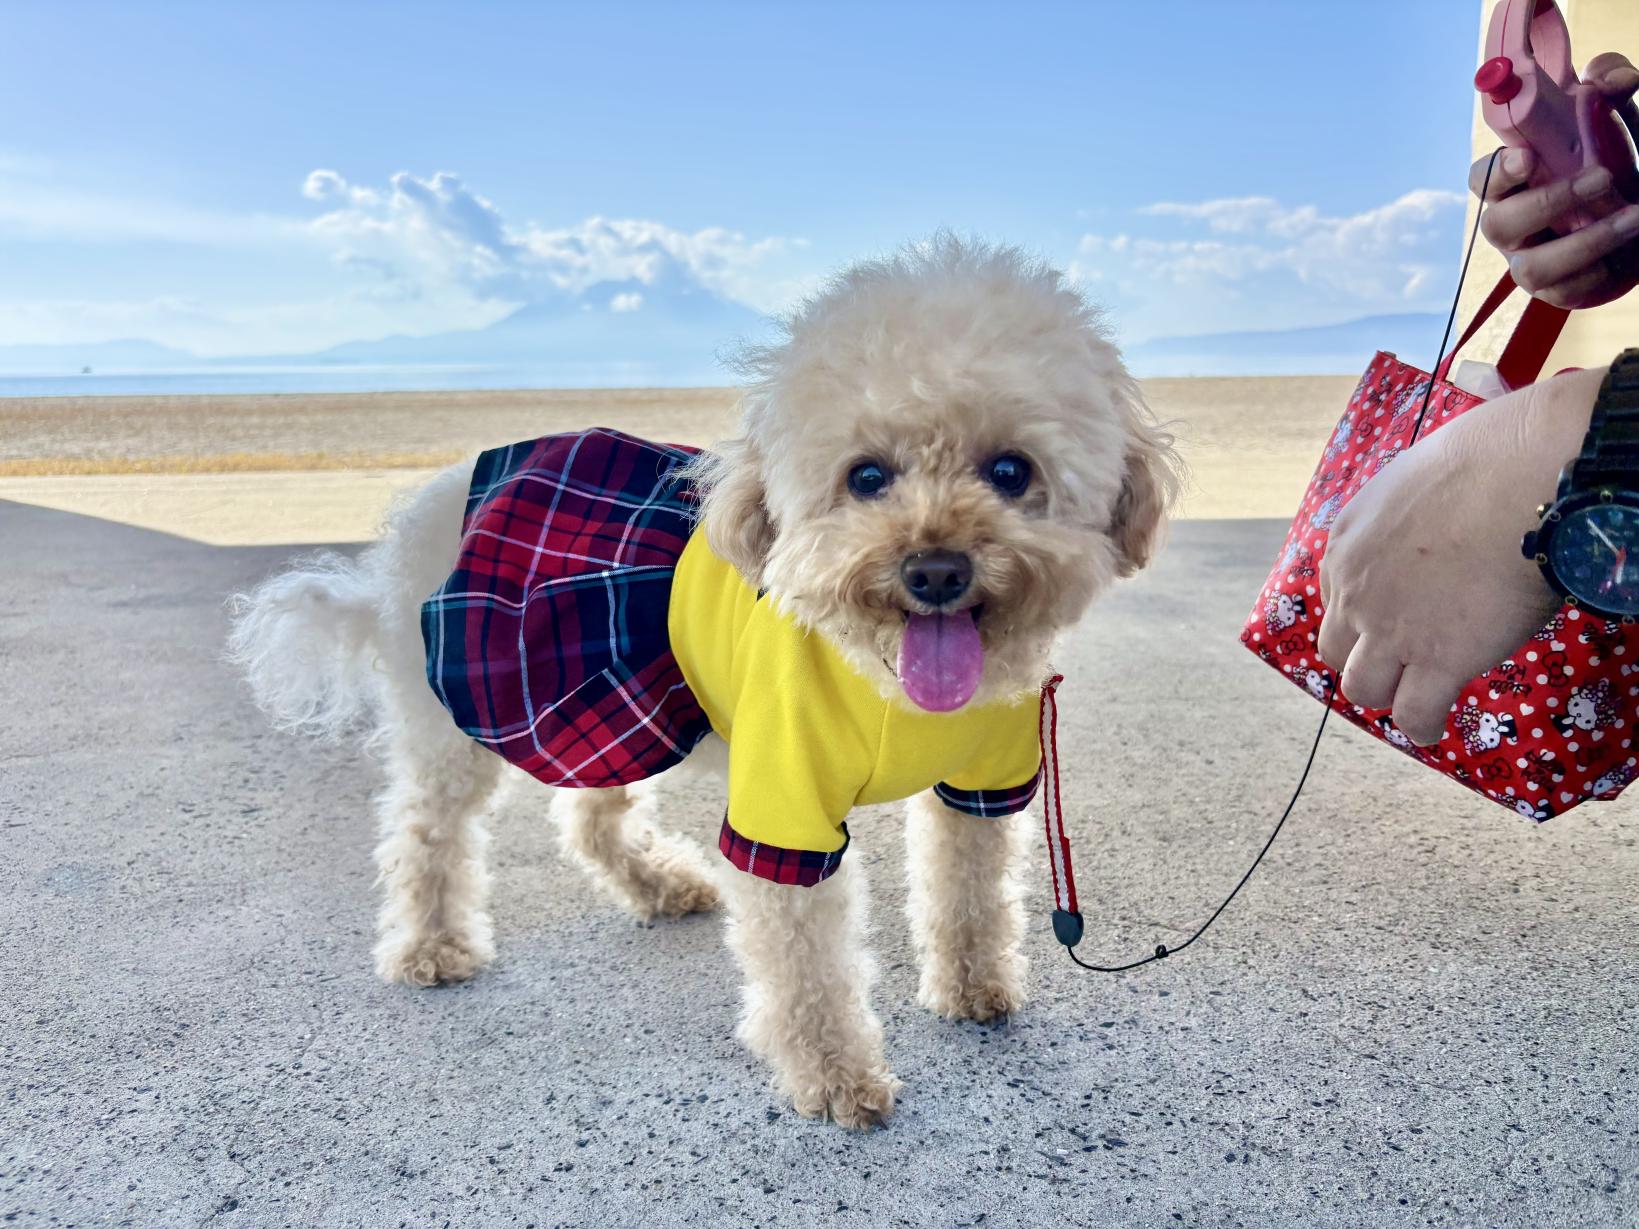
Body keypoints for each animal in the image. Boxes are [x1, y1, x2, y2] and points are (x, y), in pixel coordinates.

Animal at [231, 235, 1180, 1133]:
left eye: (1011, 471)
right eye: (866, 476)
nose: (935, 569)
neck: (886, 682)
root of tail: (411, 529)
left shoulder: (981, 784)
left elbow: (969, 894)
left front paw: (972, 987)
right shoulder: (783, 806)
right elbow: (806, 967)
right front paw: (836, 1076)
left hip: (622, 709)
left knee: (588, 814)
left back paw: (659, 886)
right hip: (462, 722)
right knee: (426, 833)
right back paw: (431, 945)